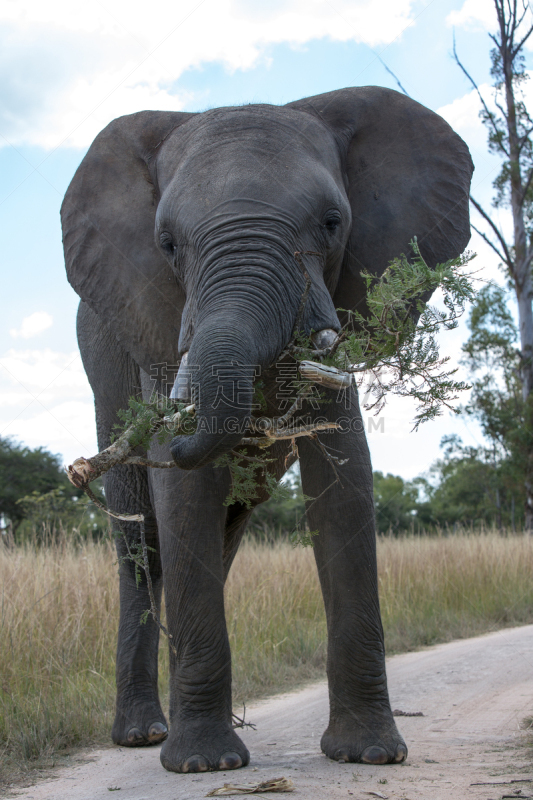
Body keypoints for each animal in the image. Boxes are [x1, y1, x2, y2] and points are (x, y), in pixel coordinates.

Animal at [60, 84, 472, 772]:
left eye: (332, 223)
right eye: (167, 244)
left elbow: (344, 480)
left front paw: (369, 754)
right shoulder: (152, 320)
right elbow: (183, 494)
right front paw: (204, 765)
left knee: (217, 535)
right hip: (102, 363)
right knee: (143, 540)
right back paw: (145, 734)